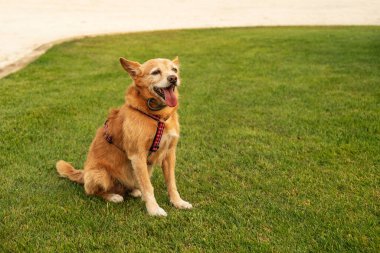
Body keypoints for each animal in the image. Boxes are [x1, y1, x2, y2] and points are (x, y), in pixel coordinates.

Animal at [55, 56, 193, 215]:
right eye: (156, 72)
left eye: (174, 70)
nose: (173, 78)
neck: (158, 116)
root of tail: (83, 174)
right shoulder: (137, 155)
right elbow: (148, 187)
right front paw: (154, 210)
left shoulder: (169, 154)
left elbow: (171, 183)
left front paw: (178, 202)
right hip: (100, 175)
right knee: (92, 192)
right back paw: (113, 196)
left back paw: (135, 191)